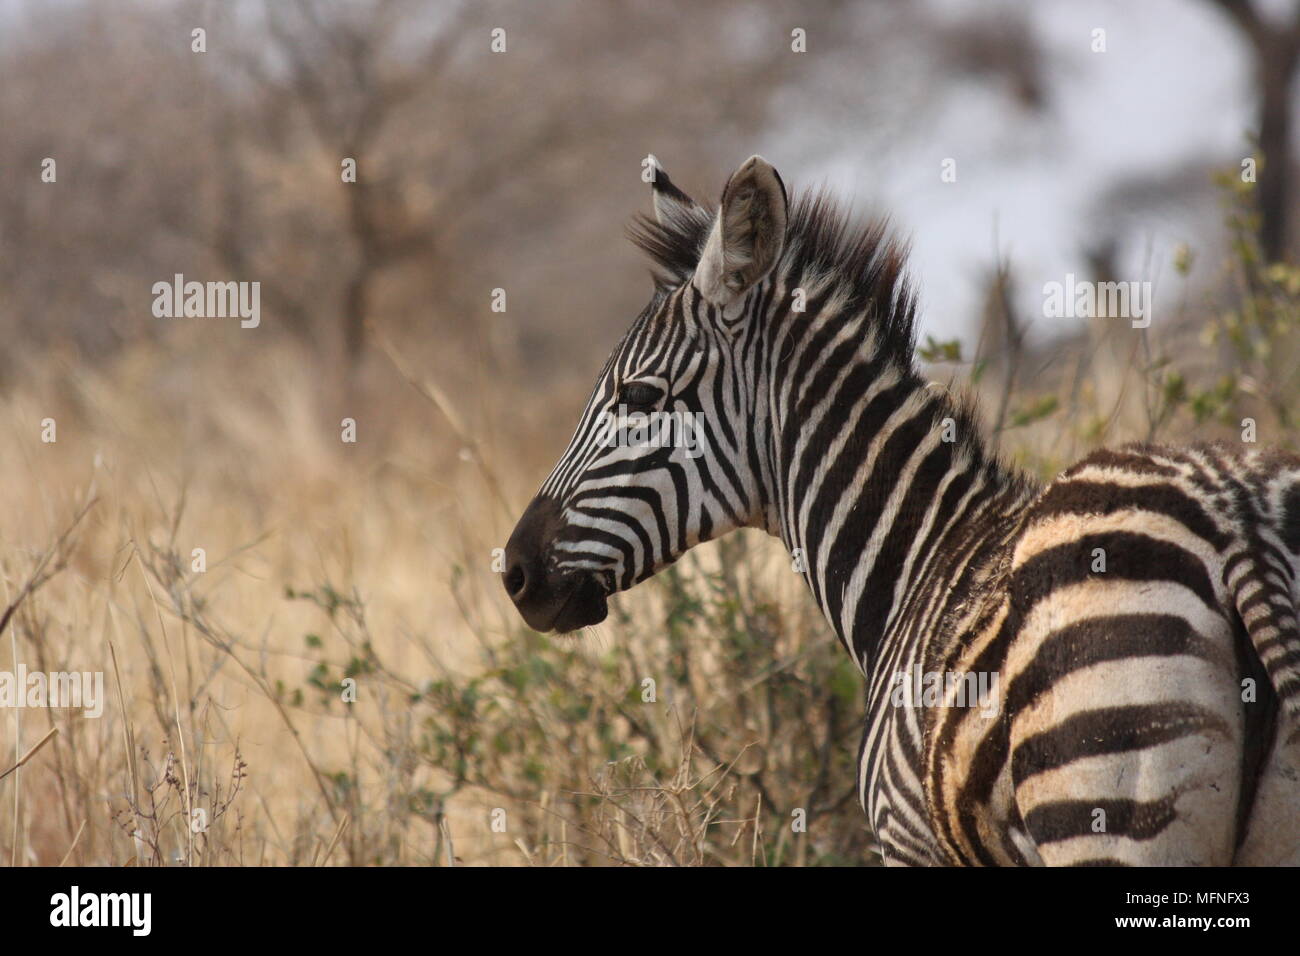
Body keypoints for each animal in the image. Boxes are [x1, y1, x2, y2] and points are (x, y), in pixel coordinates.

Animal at [501, 155, 1300, 868]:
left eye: (638, 397)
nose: (512, 572)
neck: (916, 562)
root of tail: (1232, 514)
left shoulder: (909, 838)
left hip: (1104, 792)